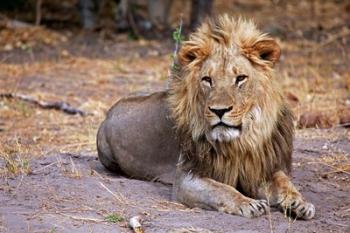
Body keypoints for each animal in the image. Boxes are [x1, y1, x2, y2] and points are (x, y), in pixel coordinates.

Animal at [97, 15, 316, 219]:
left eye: (240, 78)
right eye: (207, 80)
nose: (219, 111)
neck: (240, 142)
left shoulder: (260, 168)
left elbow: (284, 182)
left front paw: (300, 203)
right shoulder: (187, 177)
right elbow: (221, 189)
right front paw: (248, 203)